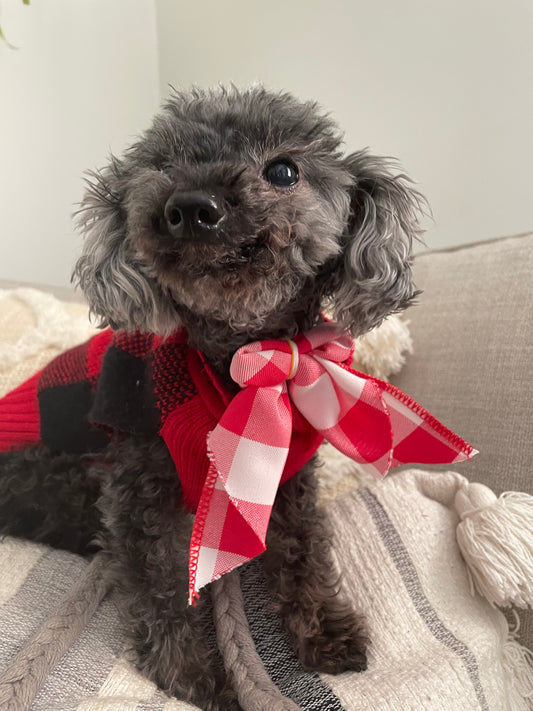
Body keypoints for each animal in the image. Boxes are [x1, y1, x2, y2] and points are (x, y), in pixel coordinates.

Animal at [0, 86, 424, 708]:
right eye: (163, 166)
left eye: (283, 171)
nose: (192, 206)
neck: (239, 368)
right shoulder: (140, 488)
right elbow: (160, 581)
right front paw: (189, 670)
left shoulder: (288, 477)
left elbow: (302, 548)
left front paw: (323, 627)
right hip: (58, 475)